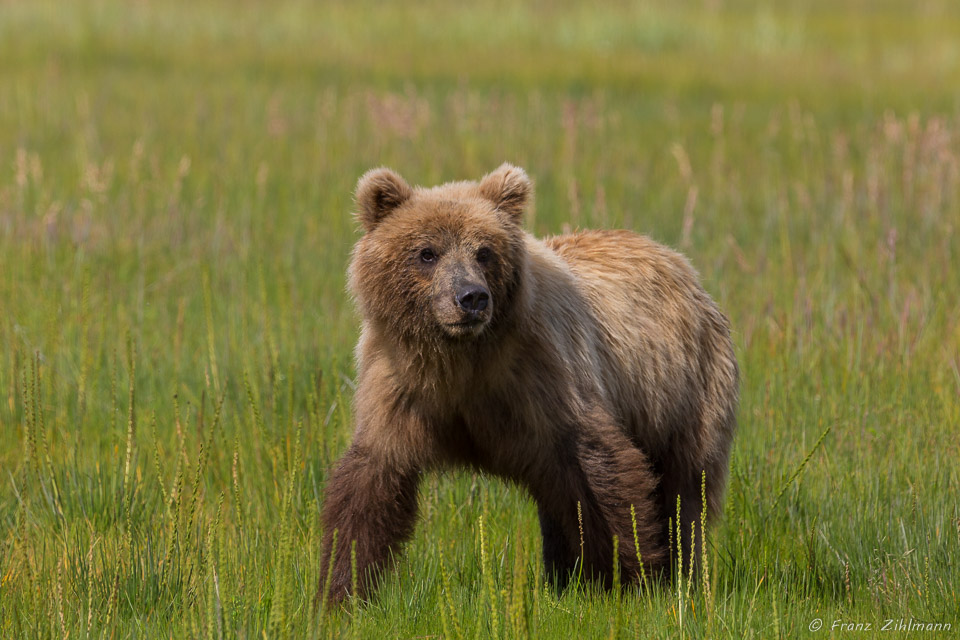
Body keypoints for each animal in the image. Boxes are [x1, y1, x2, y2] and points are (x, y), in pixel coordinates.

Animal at [318, 162, 740, 604]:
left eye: (484, 251)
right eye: (426, 252)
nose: (471, 297)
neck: (461, 359)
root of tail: (678, 261)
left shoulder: (541, 376)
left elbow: (600, 470)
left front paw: (634, 577)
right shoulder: (400, 386)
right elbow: (370, 484)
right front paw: (340, 591)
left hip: (684, 389)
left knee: (684, 489)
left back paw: (678, 572)